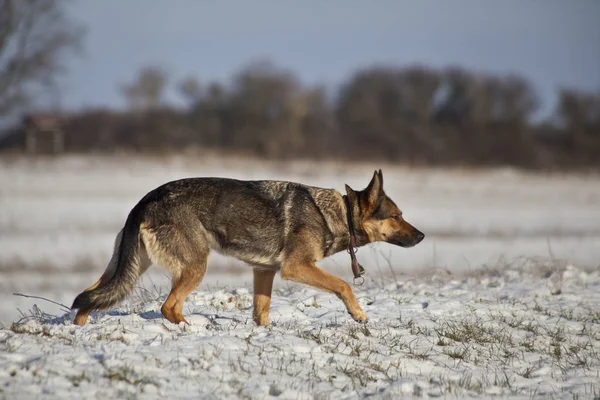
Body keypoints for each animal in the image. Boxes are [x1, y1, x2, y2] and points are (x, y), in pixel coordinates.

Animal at [72, 170, 424, 326]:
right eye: (397, 216)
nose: (421, 236)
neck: (338, 214)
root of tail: (144, 201)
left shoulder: (265, 271)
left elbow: (261, 312)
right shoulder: (296, 268)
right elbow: (342, 286)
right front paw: (359, 314)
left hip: (127, 267)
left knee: (89, 297)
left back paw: (79, 330)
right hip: (195, 266)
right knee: (168, 307)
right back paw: (189, 329)